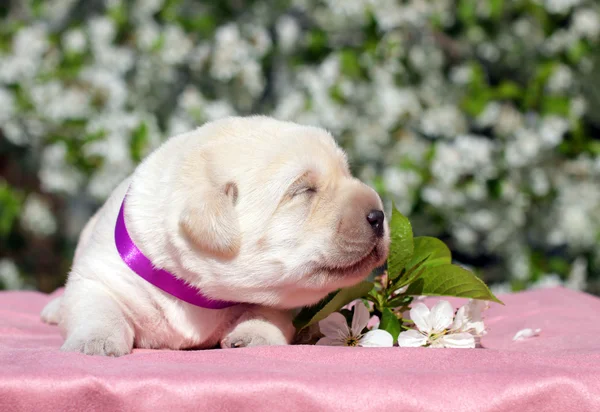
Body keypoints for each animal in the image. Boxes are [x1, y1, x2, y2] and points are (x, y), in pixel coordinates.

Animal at [41, 116, 390, 358]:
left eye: (347, 173)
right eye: (304, 190)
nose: (379, 216)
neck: (197, 293)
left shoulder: (279, 297)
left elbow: (268, 312)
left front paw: (253, 335)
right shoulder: (101, 276)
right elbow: (97, 307)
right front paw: (95, 342)